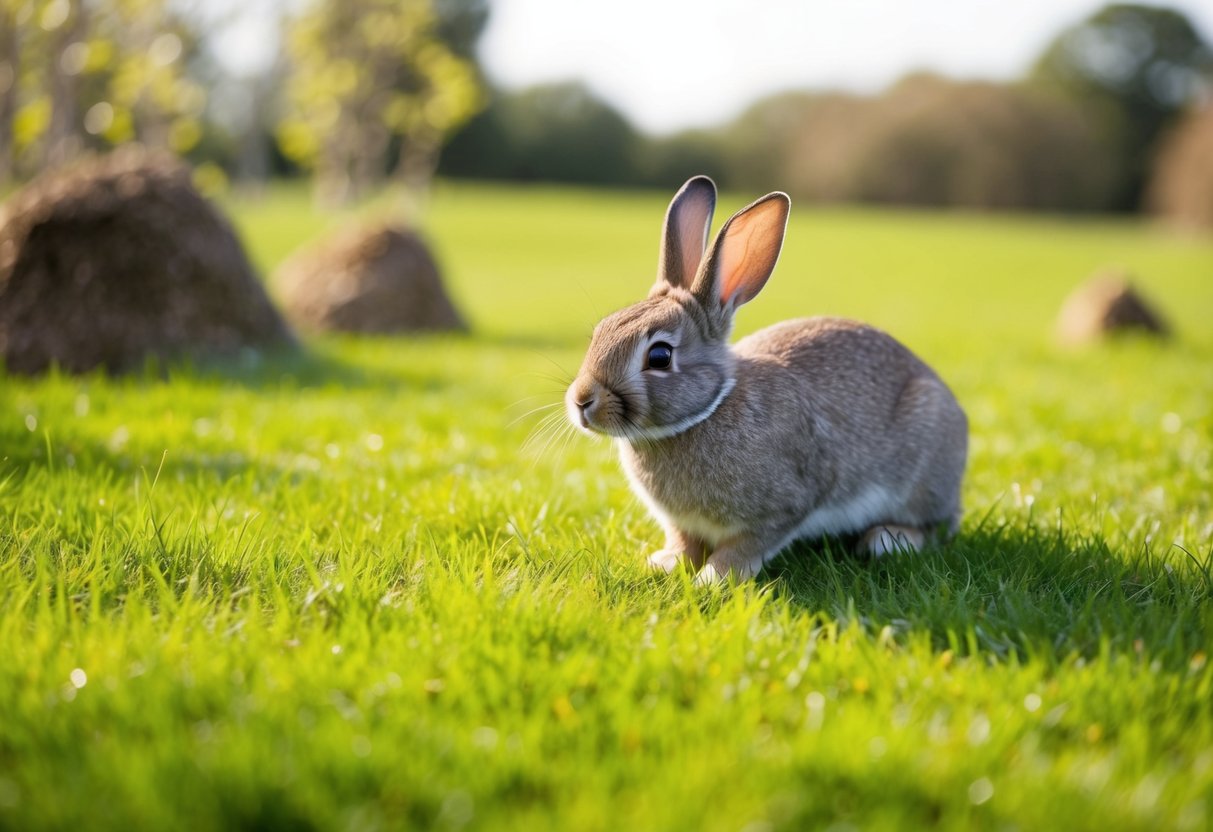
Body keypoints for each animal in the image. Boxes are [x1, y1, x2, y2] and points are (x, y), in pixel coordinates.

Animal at [564, 176, 968, 584]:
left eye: (660, 356)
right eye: (601, 331)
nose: (582, 400)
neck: (708, 410)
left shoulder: (785, 507)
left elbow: (747, 545)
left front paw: (714, 578)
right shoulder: (682, 524)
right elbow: (684, 541)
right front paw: (667, 562)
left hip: (923, 467)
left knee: (935, 525)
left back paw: (887, 539)